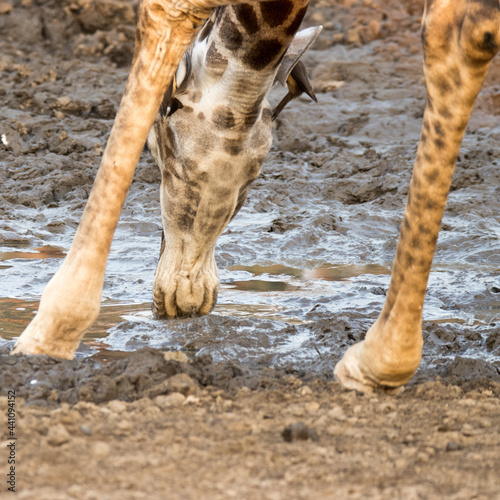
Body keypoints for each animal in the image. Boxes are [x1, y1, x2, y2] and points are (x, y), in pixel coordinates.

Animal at [9, 0, 498, 394]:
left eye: (160, 146)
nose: (187, 299)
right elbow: (460, 40)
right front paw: (385, 360)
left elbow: (169, 11)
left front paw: (48, 333)